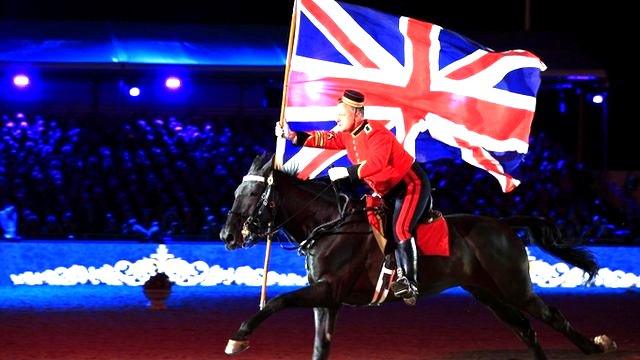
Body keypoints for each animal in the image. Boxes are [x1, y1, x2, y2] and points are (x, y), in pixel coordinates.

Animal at [219, 154, 616, 360]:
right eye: (235, 192)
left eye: (251, 196)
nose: (227, 236)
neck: (328, 225)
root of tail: (503, 224)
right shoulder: (326, 300)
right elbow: (321, 344)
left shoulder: (327, 290)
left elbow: (276, 302)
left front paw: (239, 337)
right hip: (487, 294)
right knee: (525, 328)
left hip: (514, 287)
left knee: (551, 316)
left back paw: (596, 344)